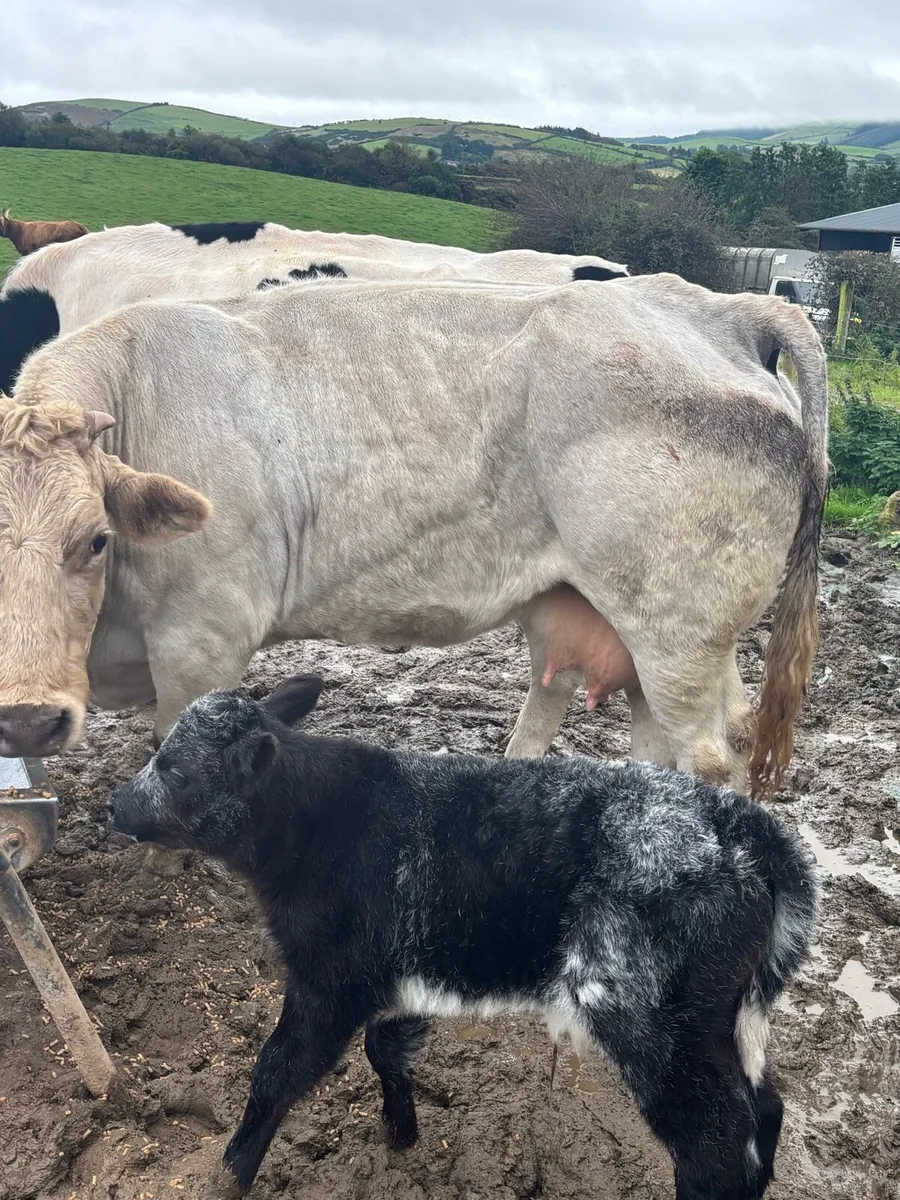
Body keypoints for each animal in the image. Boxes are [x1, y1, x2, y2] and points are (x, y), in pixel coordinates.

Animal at [0, 273, 828, 802]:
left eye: (97, 539)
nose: (26, 718)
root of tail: (716, 308)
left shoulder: (203, 638)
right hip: (621, 620)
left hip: (677, 632)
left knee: (710, 757)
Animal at [108, 674, 819, 1199]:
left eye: (174, 770)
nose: (115, 805)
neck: (322, 826)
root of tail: (747, 825)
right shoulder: (402, 972)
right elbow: (387, 1048)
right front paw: (401, 1134)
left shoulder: (330, 978)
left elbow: (277, 1071)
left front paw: (228, 1172)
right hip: (722, 1019)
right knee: (764, 1110)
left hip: (644, 1012)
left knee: (715, 1141)